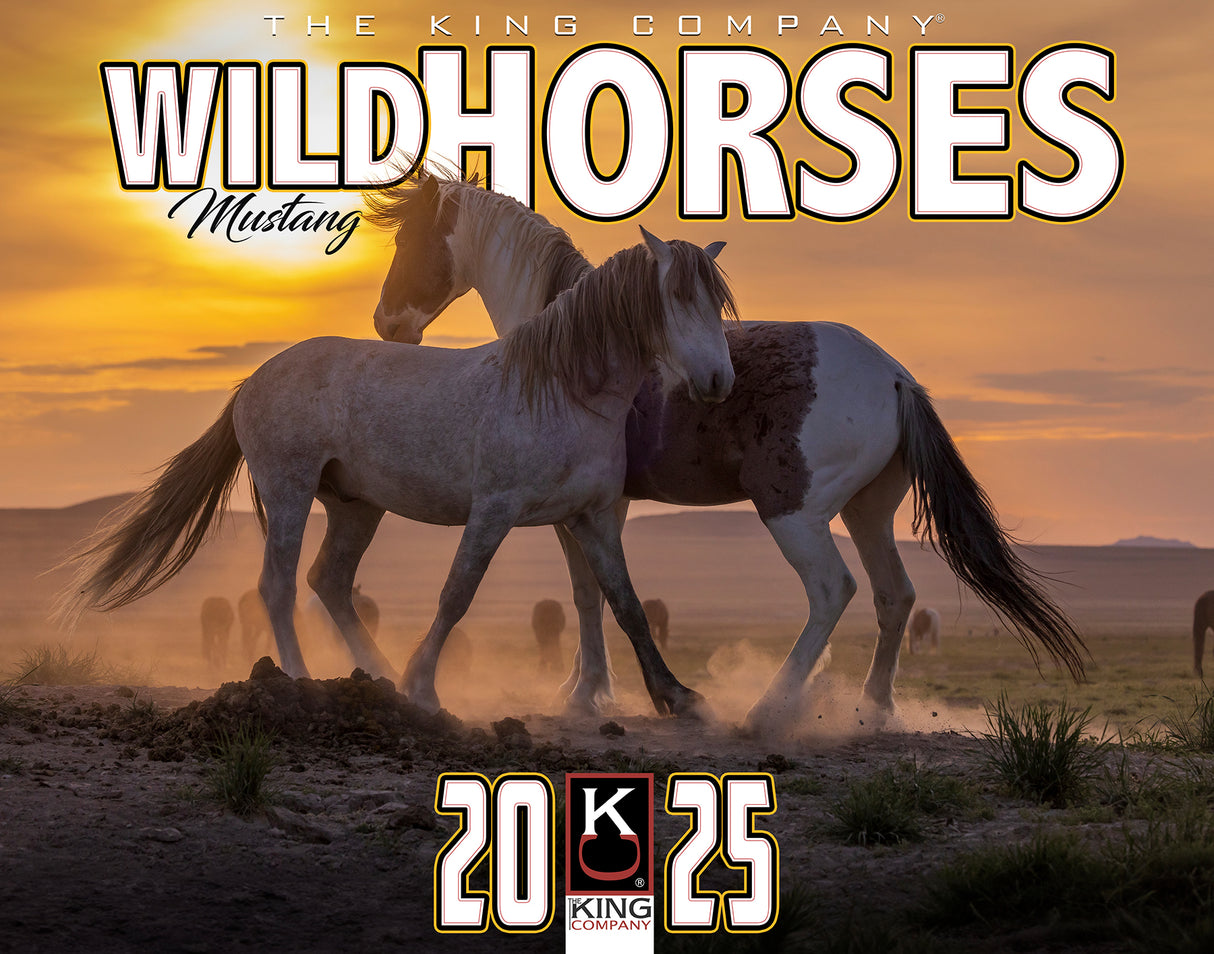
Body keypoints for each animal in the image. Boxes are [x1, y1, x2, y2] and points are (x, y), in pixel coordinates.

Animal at [58, 227, 736, 717]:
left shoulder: (591, 519)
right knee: (278, 586)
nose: (718, 381)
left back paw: (375, 675)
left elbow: (625, 603)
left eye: (717, 304)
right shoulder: (494, 510)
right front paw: (424, 687)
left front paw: (678, 696)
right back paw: (301, 680)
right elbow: (457, 593)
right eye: (678, 300)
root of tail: (253, 380)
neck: (562, 390)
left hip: (356, 506)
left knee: (329, 581)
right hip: (289, 493)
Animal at [367, 172, 1087, 732]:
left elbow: (591, 593)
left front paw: (588, 694)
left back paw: (768, 710)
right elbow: (595, 592)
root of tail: (894, 377)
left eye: (407, 241)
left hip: (794, 514)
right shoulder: (594, 510)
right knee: (894, 596)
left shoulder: (583, 510)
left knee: (834, 590)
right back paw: (872, 711)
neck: (565, 344)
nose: (386, 323)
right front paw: (592, 690)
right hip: (867, 513)